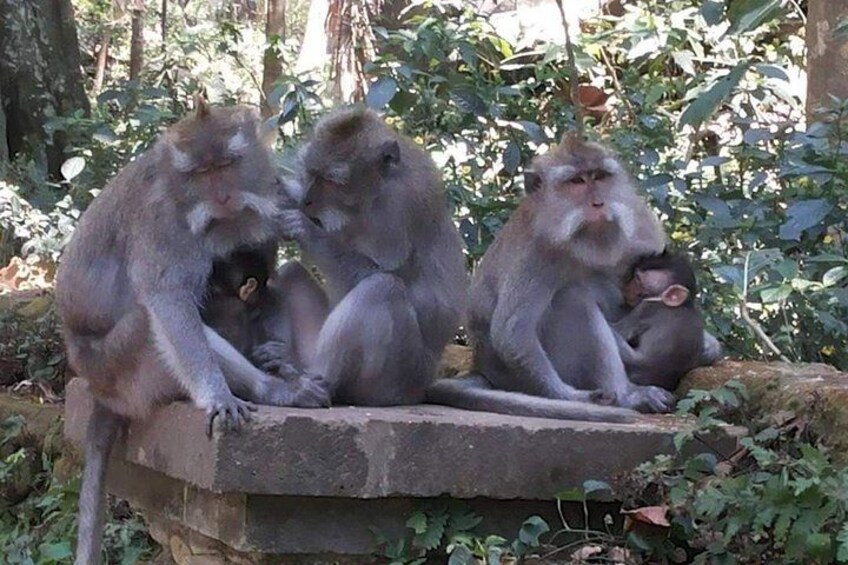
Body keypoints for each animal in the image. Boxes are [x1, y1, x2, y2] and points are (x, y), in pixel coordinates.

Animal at [55, 99, 329, 565]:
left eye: (227, 164)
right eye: (201, 173)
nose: (222, 196)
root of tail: (94, 386)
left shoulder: (271, 188)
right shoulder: (160, 223)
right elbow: (167, 298)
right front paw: (220, 395)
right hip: (119, 373)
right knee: (147, 324)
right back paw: (274, 391)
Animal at [264, 107, 468, 406]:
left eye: (332, 181)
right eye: (311, 173)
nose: (308, 201)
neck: (373, 196)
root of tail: (420, 389)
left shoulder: (402, 206)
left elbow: (382, 272)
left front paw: (305, 229)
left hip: (393, 380)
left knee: (382, 288)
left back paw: (310, 378)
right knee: (291, 271)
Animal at [427, 135, 678, 422]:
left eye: (599, 176)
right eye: (577, 181)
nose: (598, 204)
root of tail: (483, 368)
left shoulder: (642, 225)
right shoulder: (536, 253)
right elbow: (512, 333)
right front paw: (570, 397)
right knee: (573, 298)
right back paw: (626, 395)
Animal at [611, 250, 707, 392]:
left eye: (638, 280)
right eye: (634, 276)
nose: (626, 287)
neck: (684, 305)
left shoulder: (647, 308)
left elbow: (619, 329)